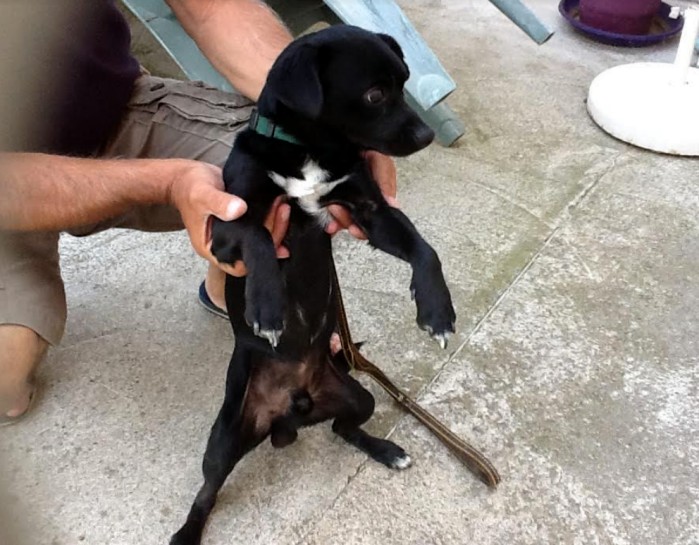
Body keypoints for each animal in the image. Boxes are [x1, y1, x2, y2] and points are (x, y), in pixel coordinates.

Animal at [171, 26, 456, 545]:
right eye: (375, 94)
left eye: (405, 80)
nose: (426, 136)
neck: (309, 151)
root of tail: (293, 406)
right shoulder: (226, 227)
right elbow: (260, 236)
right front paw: (266, 308)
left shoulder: (370, 213)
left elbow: (424, 248)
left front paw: (436, 309)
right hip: (224, 437)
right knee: (208, 490)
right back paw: (187, 532)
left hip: (357, 397)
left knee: (343, 428)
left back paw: (386, 451)